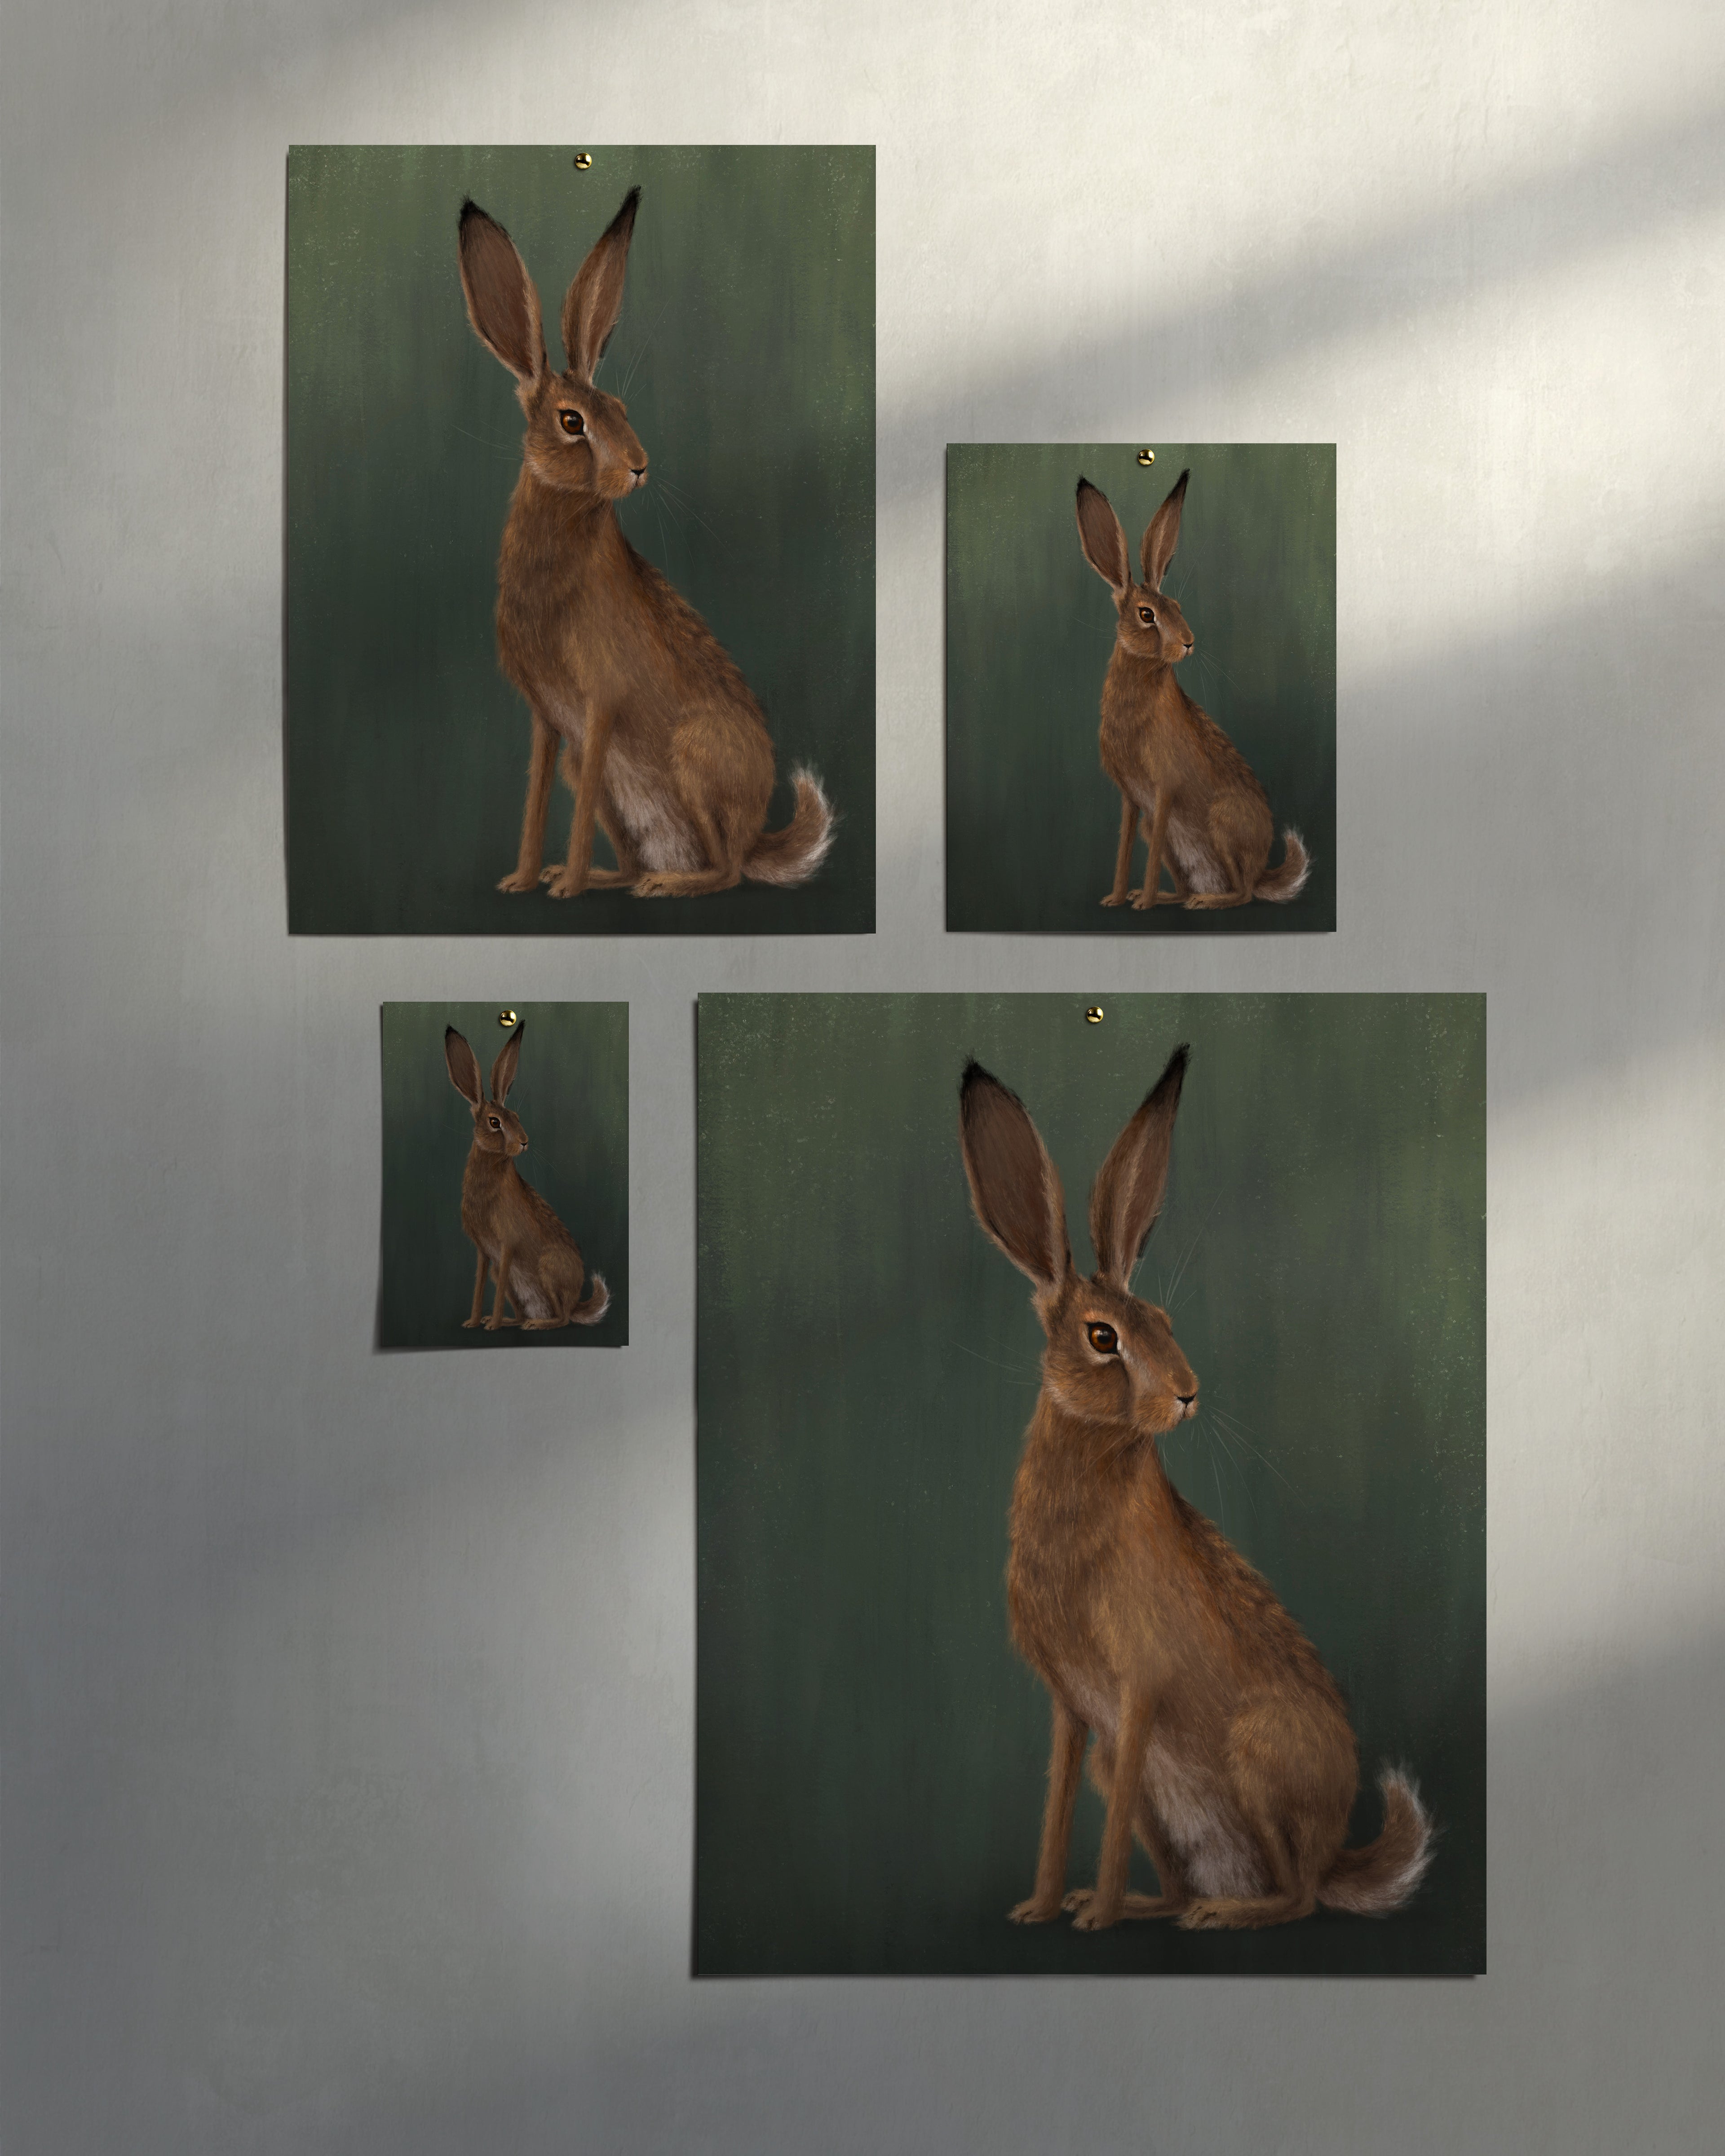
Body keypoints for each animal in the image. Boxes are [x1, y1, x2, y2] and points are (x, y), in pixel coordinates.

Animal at [443, 1023, 609, 1331]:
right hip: (510, 1277)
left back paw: (537, 1324)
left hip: (548, 1269)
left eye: (517, 1117)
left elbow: (495, 1291)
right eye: (495, 1122)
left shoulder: (507, 1245)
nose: (524, 1142)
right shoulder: (485, 1253)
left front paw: (491, 1326)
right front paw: (474, 1322)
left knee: (563, 1319)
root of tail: (575, 1302)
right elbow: (479, 1286)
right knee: (524, 1311)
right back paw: (513, 1321)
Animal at [457, 188, 835, 900]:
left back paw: (667, 884)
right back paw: (612, 877)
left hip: (694, 757)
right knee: (640, 852)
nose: (638, 467)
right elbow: (537, 798)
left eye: (623, 410)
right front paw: (524, 879)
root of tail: (757, 836)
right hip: (607, 775)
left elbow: (571, 808)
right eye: (572, 421)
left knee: (727, 872)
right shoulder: (550, 722)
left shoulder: (600, 703)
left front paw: (564, 889)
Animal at [958, 1046, 1432, 1931]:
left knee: (1298, 1898)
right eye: (1103, 1337)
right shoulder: (1076, 1713)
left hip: (1258, 1756)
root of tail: (1335, 1852)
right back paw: (1150, 1904)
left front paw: (1092, 1919)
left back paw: (1223, 1913)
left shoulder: (1139, 1688)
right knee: (1188, 1876)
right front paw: (1043, 1907)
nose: (1187, 1392)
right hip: (1147, 1780)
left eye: (1167, 1322)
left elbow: (1104, 1820)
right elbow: (1058, 1805)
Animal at [1076, 469, 1310, 911]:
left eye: (1179, 608)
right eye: (1147, 614)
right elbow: (1125, 847)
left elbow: (1147, 854)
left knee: (1243, 894)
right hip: (1172, 835)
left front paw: (1142, 904)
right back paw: (1172, 897)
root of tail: (1261, 871)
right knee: (1190, 882)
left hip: (1223, 822)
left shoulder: (1164, 789)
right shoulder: (1133, 801)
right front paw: (1117, 898)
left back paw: (1206, 901)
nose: (1188, 642)